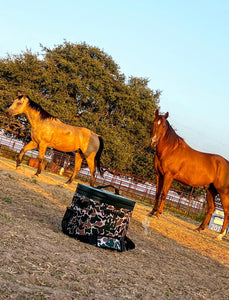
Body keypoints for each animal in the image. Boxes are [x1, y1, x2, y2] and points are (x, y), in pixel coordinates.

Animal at [148, 109, 229, 240]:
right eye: (154, 122)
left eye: (164, 125)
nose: (153, 141)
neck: (170, 150)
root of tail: (226, 163)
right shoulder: (159, 175)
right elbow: (157, 193)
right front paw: (151, 212)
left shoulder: (169, 176)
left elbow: (164, 194)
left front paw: (157, 214)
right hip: (210, 190)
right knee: (211, 208)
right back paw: (199, 229)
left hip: (223, 192)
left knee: (226, 211)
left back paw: (220, 235)